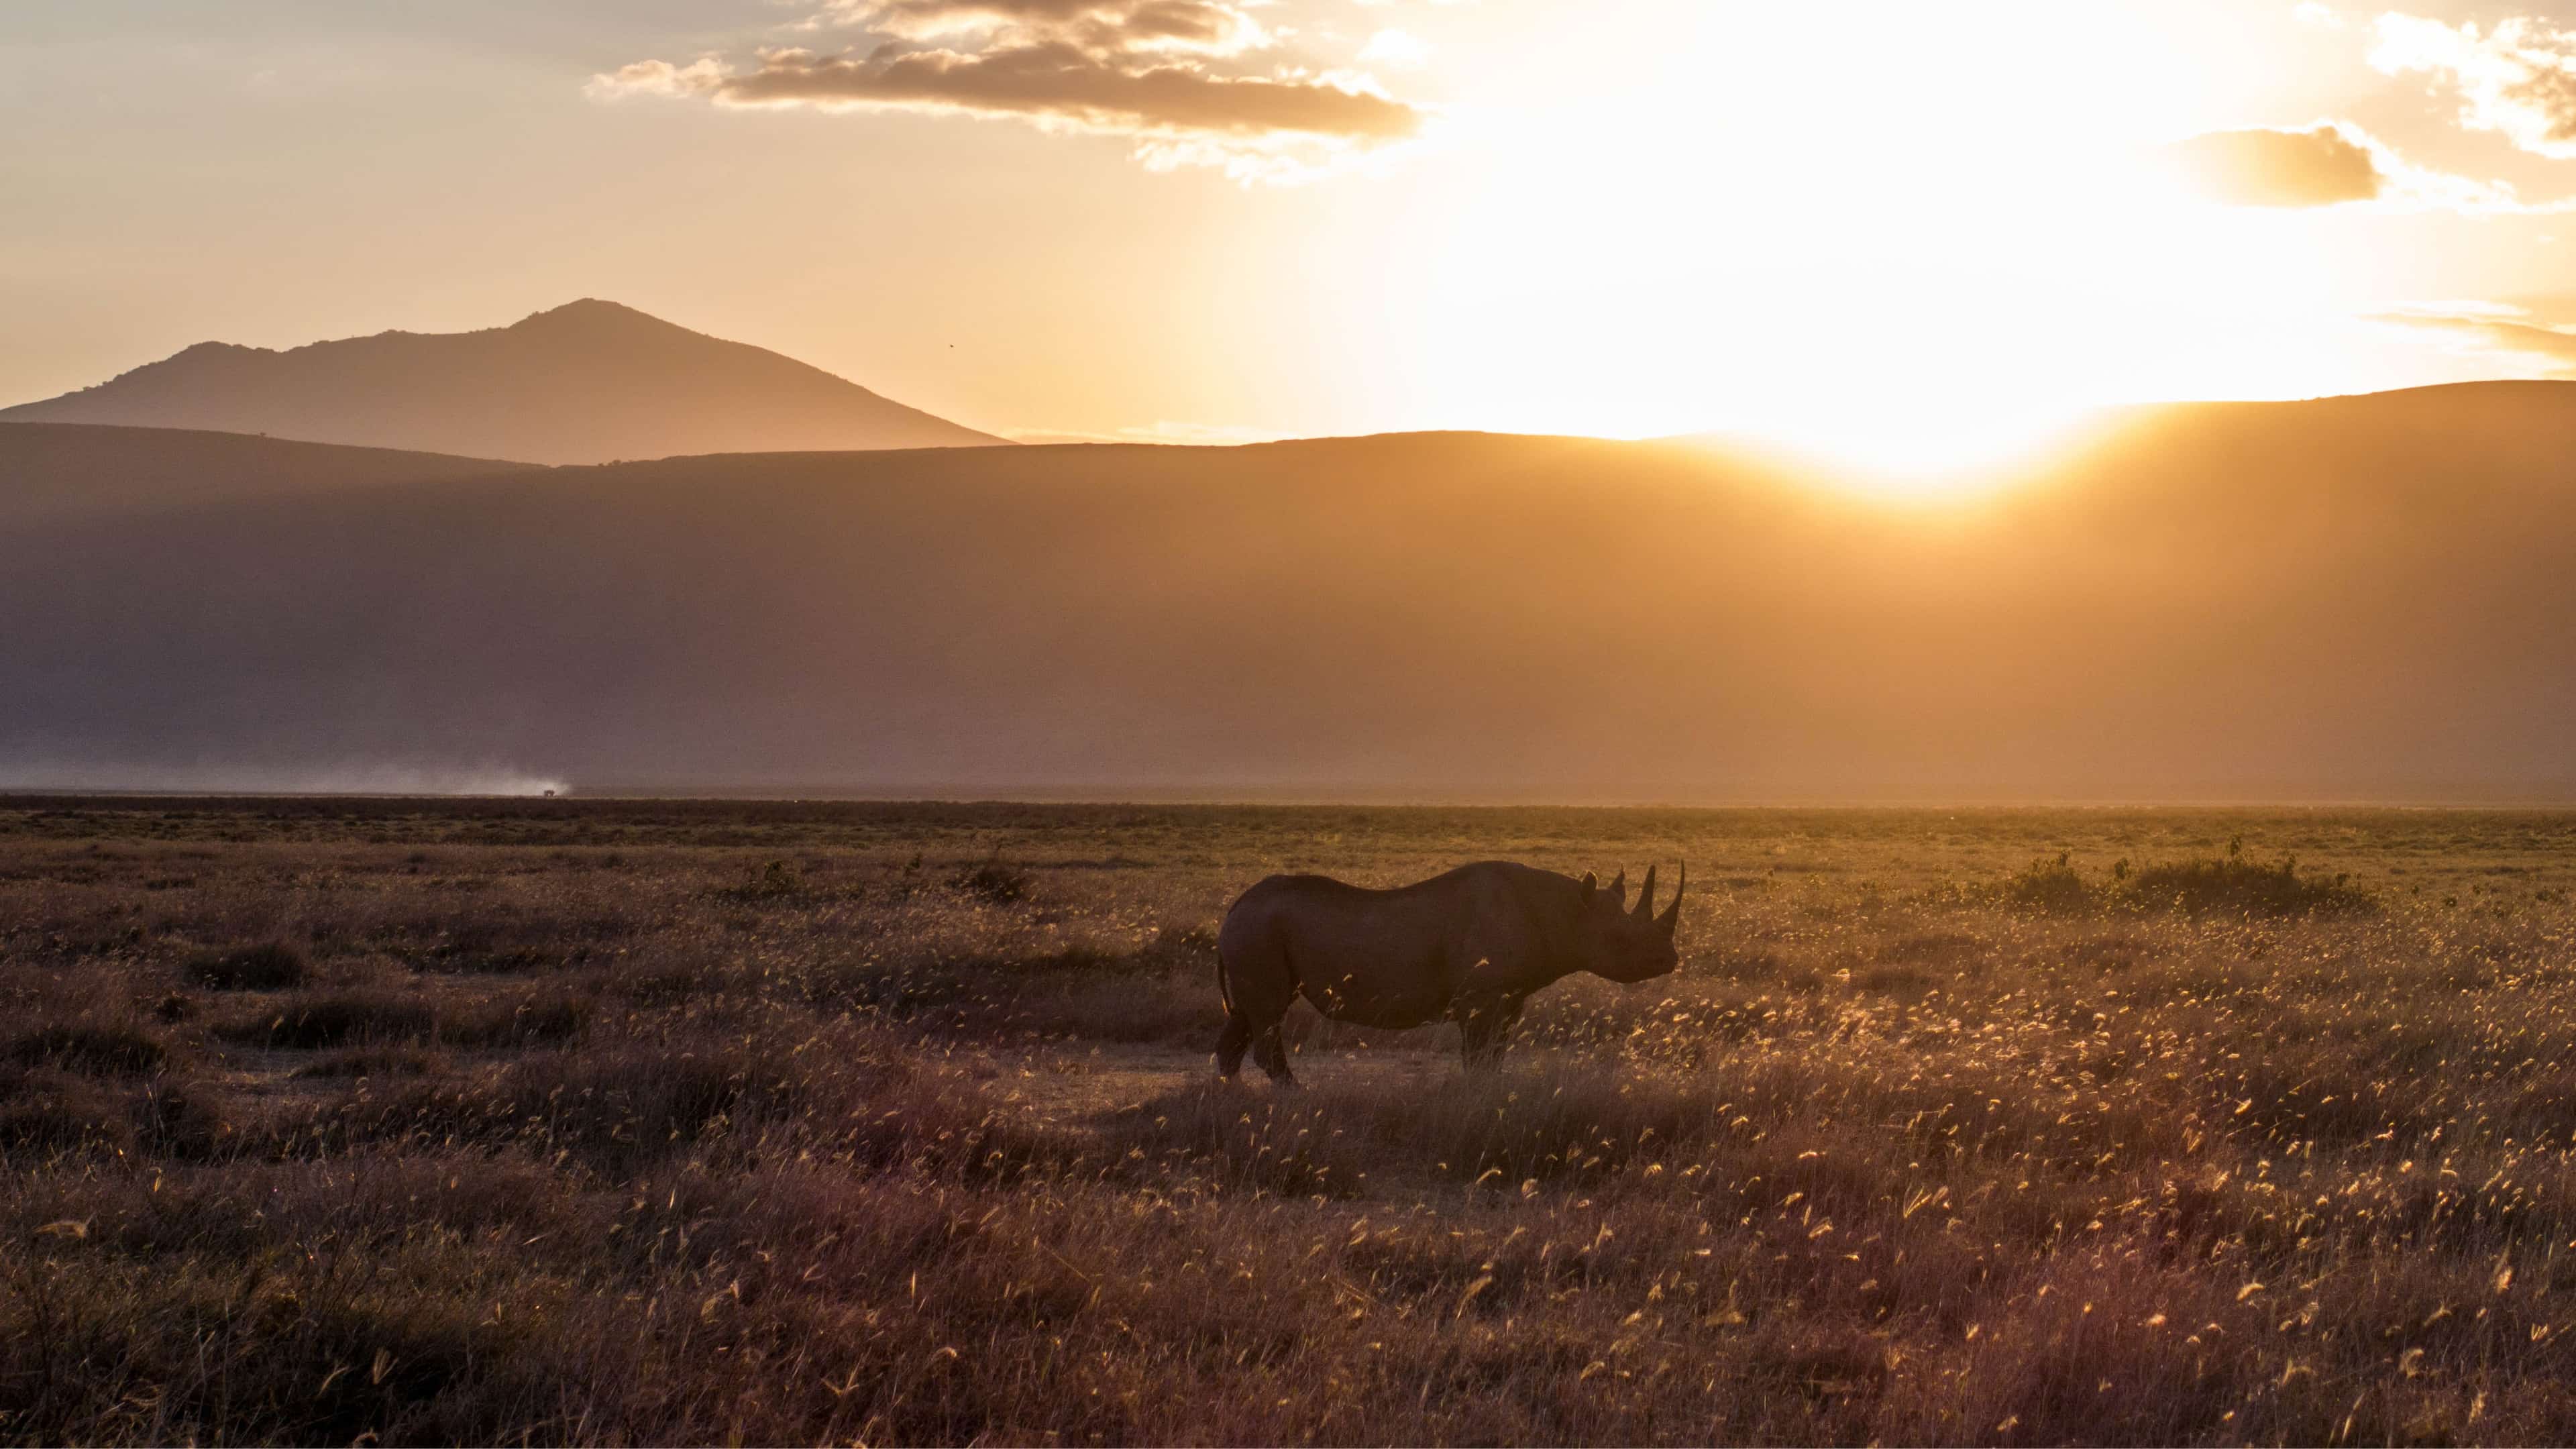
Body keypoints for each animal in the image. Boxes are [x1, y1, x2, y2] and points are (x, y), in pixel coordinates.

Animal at [1214, 861, 1684, 1083]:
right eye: (1621, 940)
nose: (1670, 960)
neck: (1567, 910)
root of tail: (1234, 909)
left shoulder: (1510, 995)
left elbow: (1494, 1054)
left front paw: (1493, 1093)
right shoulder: (1482, 996)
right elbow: (1477, 1055)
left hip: (1255, 931)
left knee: (1246, 1017)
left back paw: (1233, 1099)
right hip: (1258, 932)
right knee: (1268, 1012)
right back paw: (1296, 1097)